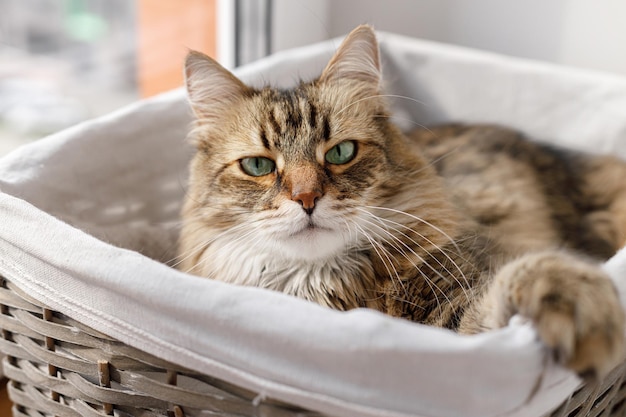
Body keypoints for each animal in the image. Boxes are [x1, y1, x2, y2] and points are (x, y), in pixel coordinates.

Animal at [176, 24, 624, 378]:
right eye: (258, 165)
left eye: (341, 153)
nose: (306, 198)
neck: (322, 285)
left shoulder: (461, 310)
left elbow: (525, 275)